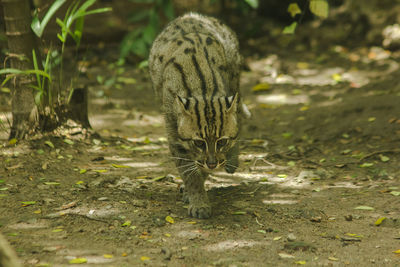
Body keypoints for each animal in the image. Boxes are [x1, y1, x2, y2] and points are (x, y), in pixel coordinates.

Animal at [148, 12, 247, 219]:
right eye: (199, 143)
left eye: (222, 141)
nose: (213, 164)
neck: (204, 92)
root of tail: (191, 15)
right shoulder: (175, 136)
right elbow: (190, 173)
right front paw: (198, 200)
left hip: (235, 78)